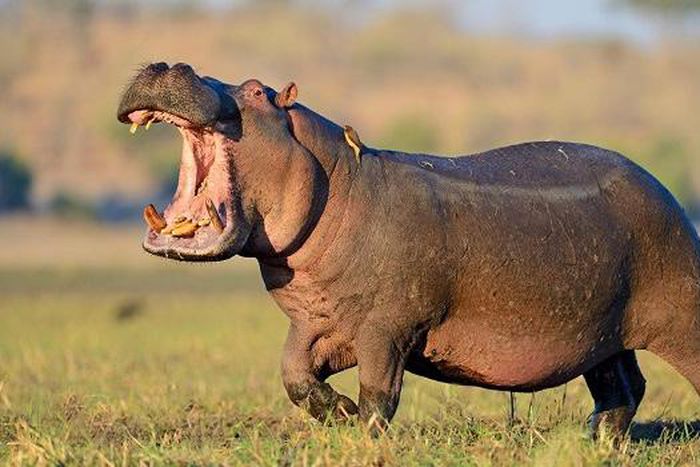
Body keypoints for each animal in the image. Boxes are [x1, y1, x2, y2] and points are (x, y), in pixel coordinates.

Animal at [118, 62, 700, 438]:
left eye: (259, 91)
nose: (170, 63)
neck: (337, 178)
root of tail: (670, 196)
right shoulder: (316, 323)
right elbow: (294, 377)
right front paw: (340, 415)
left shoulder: (387, 325)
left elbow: (380, 391)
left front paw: (364, 433)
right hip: (602, 333)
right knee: (623, 384)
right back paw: (596, 438)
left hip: (680, 312)